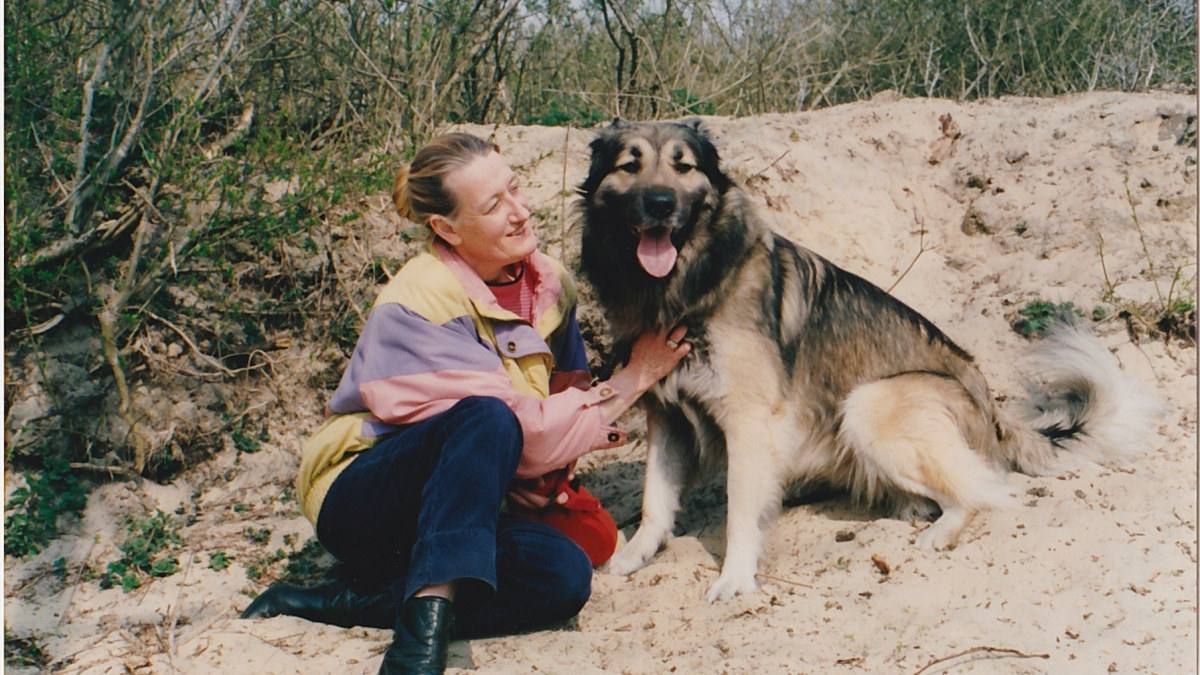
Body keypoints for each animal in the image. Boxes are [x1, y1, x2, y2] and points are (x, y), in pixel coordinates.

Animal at [576, 119, 1156, 598]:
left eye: (683, 166)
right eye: (630, 165)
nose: (659, 204)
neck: (688, 285)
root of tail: (993, 413)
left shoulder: (748, 420)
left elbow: (740, 509)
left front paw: (736, 578)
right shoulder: (666, 415)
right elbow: (655, 499)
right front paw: (633, 556)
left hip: (868, 405)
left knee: (981, 493)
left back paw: (936, 533)